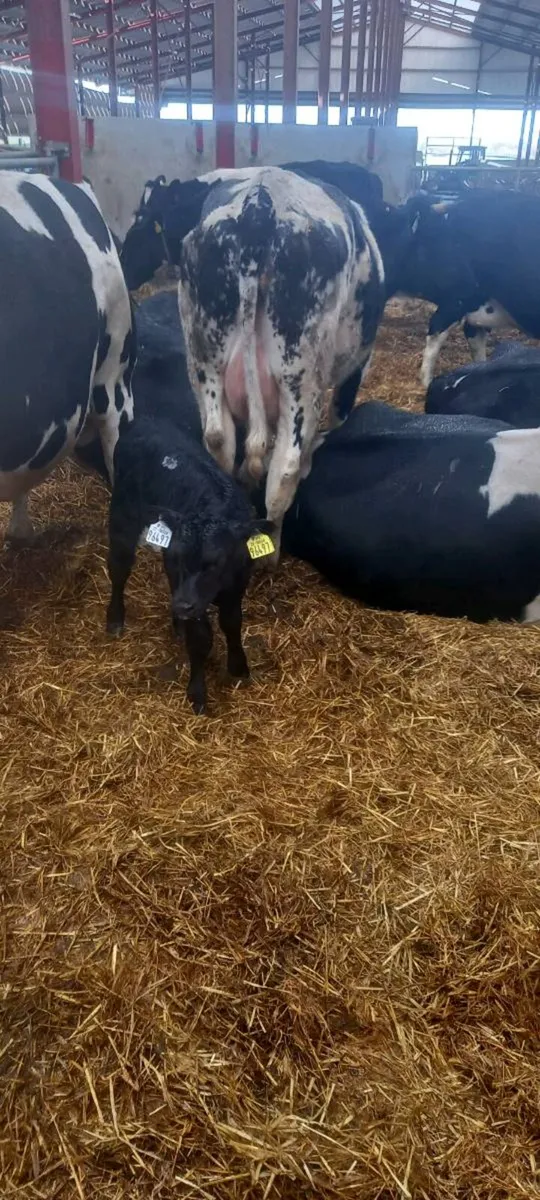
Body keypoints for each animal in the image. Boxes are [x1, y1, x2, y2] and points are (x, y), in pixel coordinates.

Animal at [106, 413, 270, 714]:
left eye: (215, 562)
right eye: (183, 557)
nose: (182, 606)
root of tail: (142, 421)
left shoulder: (237, 587)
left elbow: (232, 623)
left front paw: (238, 666)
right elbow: (200, 638)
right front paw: (197, 692)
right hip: (122, 514)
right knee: (119, 567)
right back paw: (115, 618)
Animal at [176, 166, 387, 553]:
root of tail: (260, 203)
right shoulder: (355, 369)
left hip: (204, 363)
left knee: (219, 441)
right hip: (300, 378)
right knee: (284, 467)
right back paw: (271, 548)